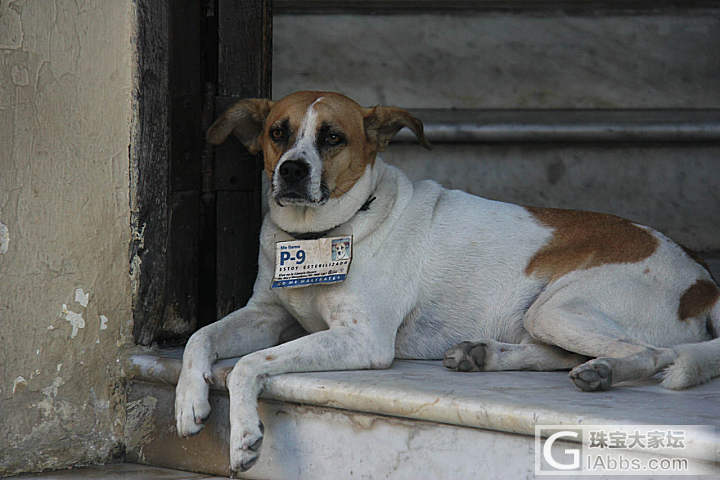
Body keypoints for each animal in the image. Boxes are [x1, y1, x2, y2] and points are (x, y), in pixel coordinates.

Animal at [174, 90, 720, 472]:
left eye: (333, 138)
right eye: (277, 133)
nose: (291, 171)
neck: (318, 236)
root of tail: (703, 281)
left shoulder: (362, 339)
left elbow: (248, 364)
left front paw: (244, 434)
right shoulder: (266, 315)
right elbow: (199, 337)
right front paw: (188, 400)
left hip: (558, 309)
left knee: (650, 354)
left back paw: (602, 371)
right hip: (545, 317)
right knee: (567, 354)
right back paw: (490, 355)